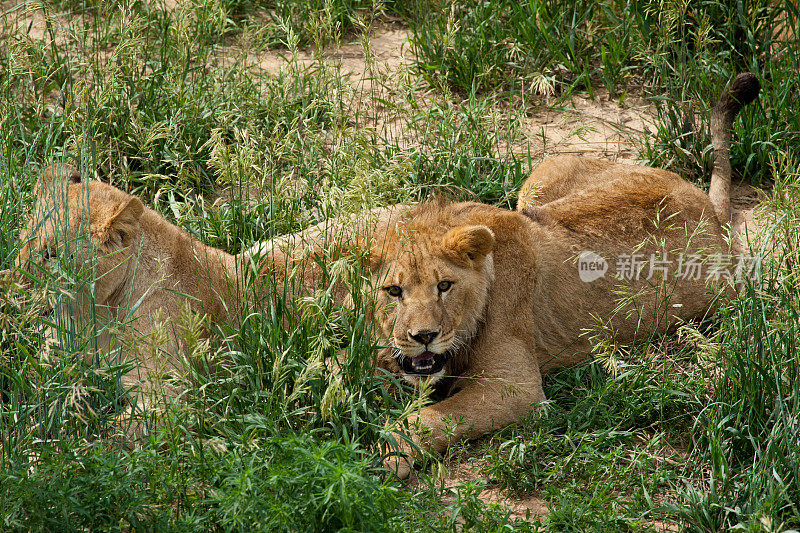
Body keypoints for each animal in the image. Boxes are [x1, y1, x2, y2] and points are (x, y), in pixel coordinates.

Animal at [253, 71, 760, 478]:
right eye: (392, 291)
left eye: (445, 286)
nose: (423, 336)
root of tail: (707, 207)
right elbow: (340, 362)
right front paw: (296, 386)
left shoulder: (513, 388)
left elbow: (430, 417)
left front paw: (392, 452)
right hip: (540, 178)